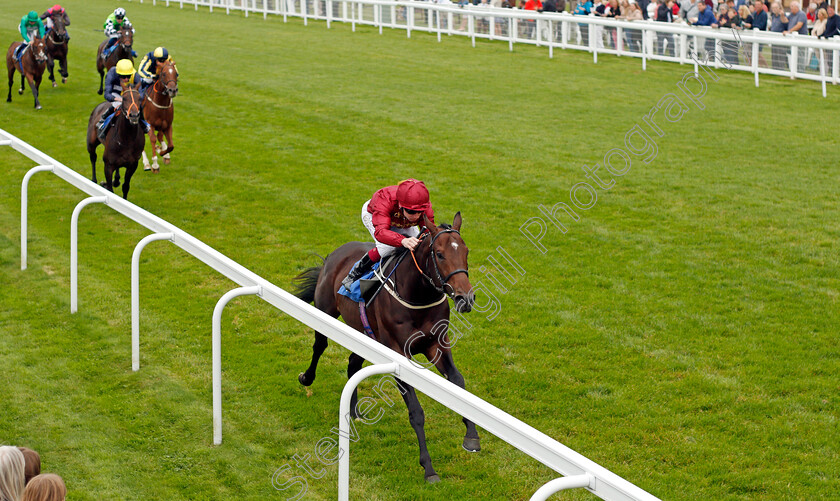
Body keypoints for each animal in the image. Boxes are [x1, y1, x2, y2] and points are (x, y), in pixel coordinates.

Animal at [294, 214, 480, 480]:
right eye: (440, 254)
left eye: (466, 251)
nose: (466, 299)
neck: (417, 295)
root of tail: (335, 254)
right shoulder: (398, 354)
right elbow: (416, 412)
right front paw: (428, 468)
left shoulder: (436, 345)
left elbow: (458, 382)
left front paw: (472, 437)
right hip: (325, 311)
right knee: (320, 345)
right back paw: (306, 378)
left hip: (364, 333)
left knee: (353, 364)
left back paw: (354, 412)